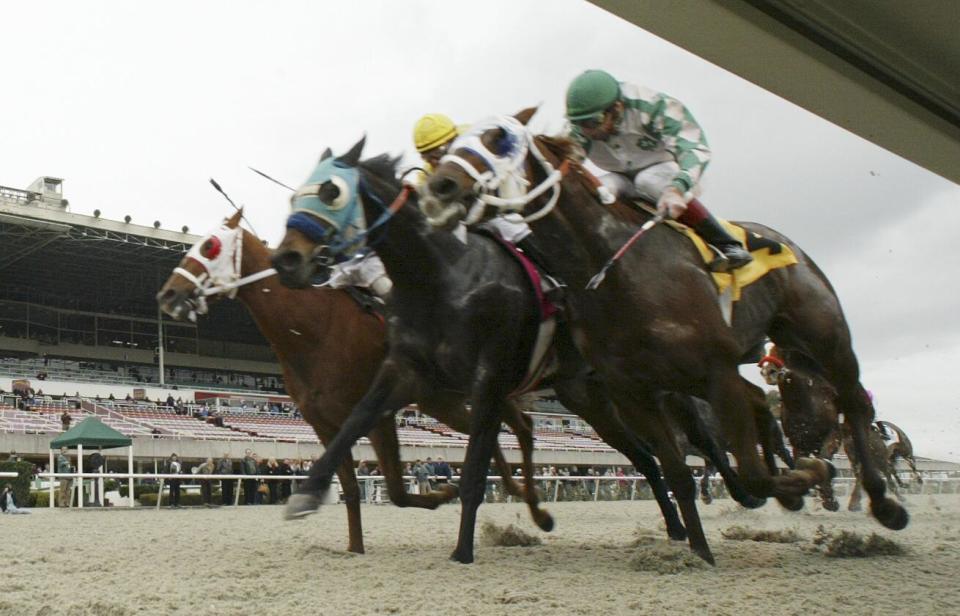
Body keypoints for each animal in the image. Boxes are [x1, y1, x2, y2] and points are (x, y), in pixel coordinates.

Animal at [154, 208, 536, 552]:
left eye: (209, 246)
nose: (167, 294)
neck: (315, 329)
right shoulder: (325, 423)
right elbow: (351, 488)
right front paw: (355, 547)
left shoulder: (377, 416)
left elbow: (396, 490)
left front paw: (446, 491)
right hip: (441, 400)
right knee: (493, 425)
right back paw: (521, 492)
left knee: (508, 420)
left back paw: (523, 494)